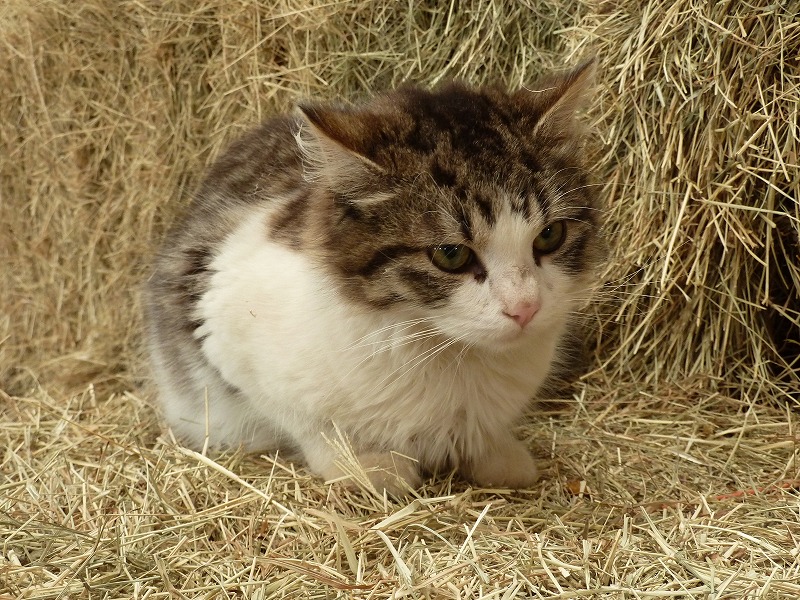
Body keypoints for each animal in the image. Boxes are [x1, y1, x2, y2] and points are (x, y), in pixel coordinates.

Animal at [144, 59, 601, 494]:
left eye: (550, 235)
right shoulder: (220, 325)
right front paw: (366, 466)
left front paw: (495, 453)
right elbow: (313, 427)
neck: (451, 354)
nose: (525, 308)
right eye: (451, 254)